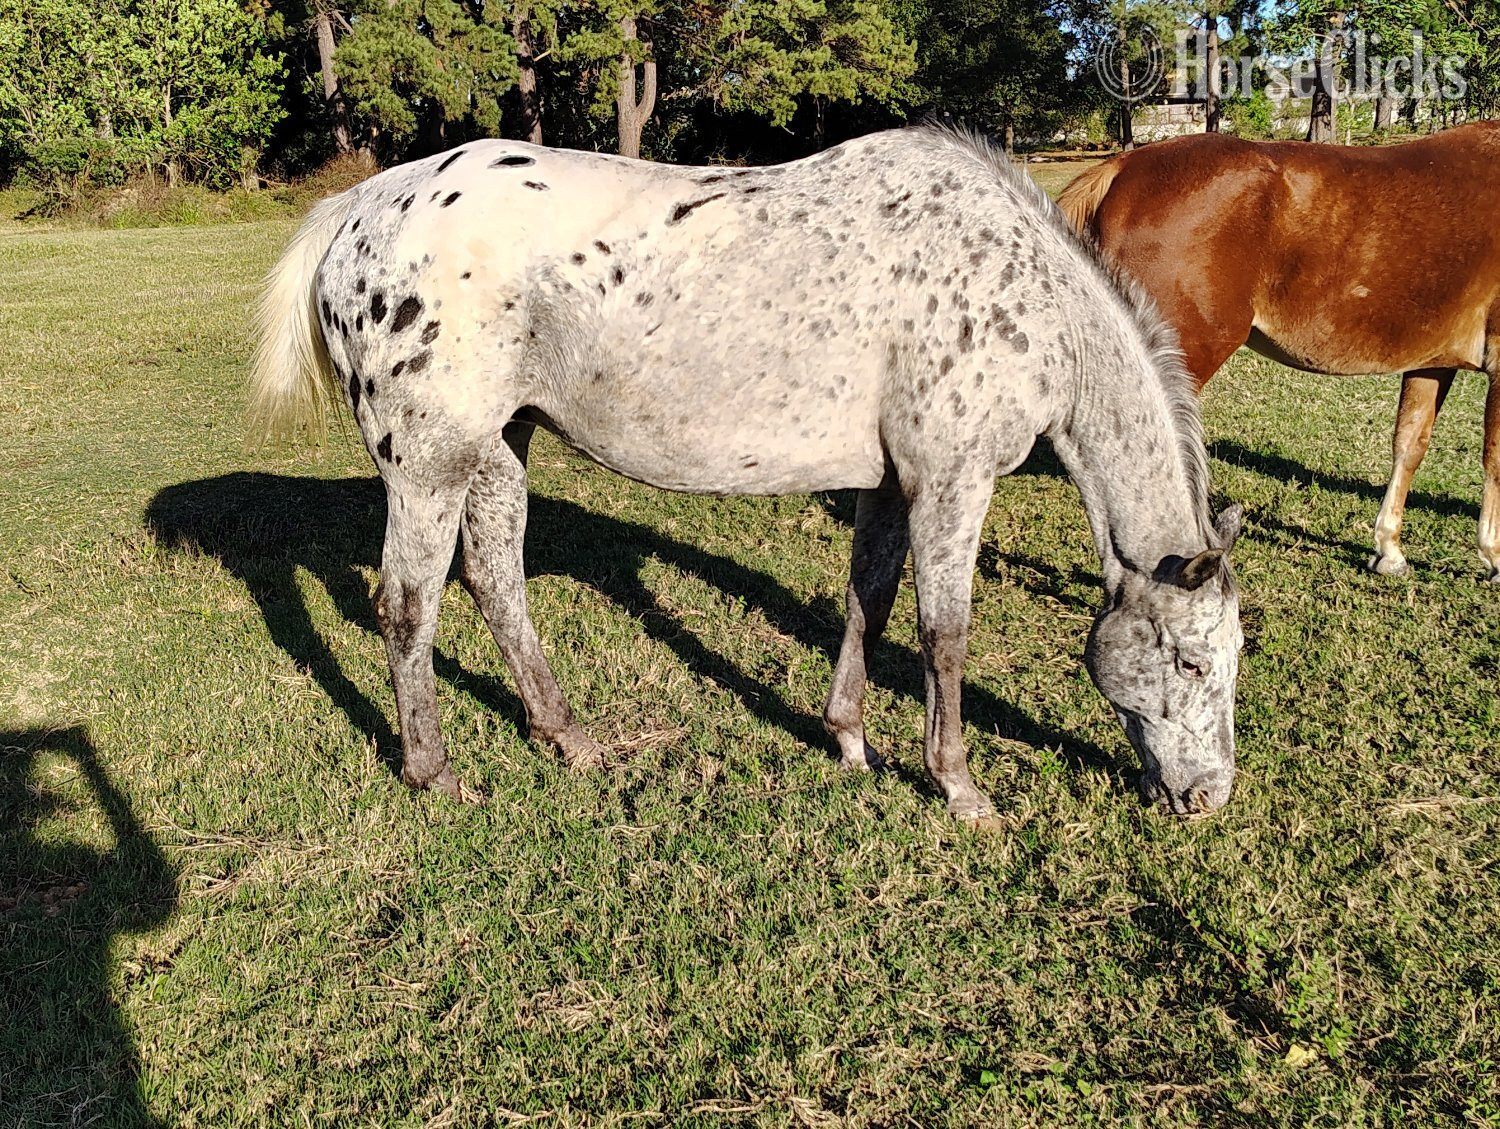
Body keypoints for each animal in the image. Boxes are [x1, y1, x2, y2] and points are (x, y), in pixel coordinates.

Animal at [251, 124, 1244, 820]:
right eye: (1193, 661)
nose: (1207, 797)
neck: (1022, 294)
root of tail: (365, 204)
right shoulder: (952, 482)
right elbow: (944, 634)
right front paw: (959, 787)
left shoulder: (889, 484)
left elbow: (868, 601)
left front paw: (848, 738)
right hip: (429, 467)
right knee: (407, 606)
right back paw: (435, 771)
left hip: (498, 449)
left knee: (496, 581)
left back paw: (566, 736)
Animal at [1058, 122, 1500, 581]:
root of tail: (1124, 167)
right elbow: (1494, 458)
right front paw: (1493, 556)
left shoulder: (1431, 363)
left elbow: (1410, 444)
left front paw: (1389, 549)